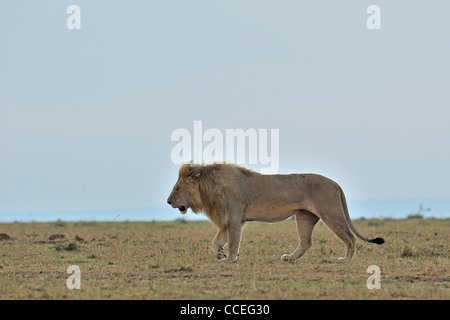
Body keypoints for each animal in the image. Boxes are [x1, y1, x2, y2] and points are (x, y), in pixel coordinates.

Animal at [166, 164, 384, 262]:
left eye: (177, 188)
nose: (168, 202)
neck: (209, 189)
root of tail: (336, 183)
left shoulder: (235, 218)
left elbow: (233, 241)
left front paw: (230, 258)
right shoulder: (229, 220)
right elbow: (216, 241)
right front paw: (220, 254)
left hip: (331, 214)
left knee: (349, 237)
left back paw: (345, 260)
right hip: (304, 216)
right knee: (306, 242)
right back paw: (290, 258)